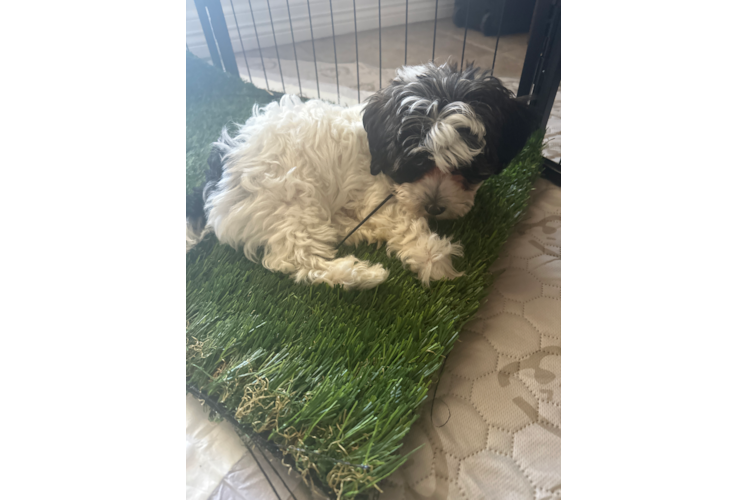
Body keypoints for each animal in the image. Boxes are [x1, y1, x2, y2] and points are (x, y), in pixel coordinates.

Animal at [186, 62, 536, 290]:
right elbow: (403, 220)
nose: (435, 207)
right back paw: (359, 275)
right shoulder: (380, 196)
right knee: (294, 258)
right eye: (414, 165)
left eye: (467, 168)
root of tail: (215, 180)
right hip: (289, 195)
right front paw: (434, 258)